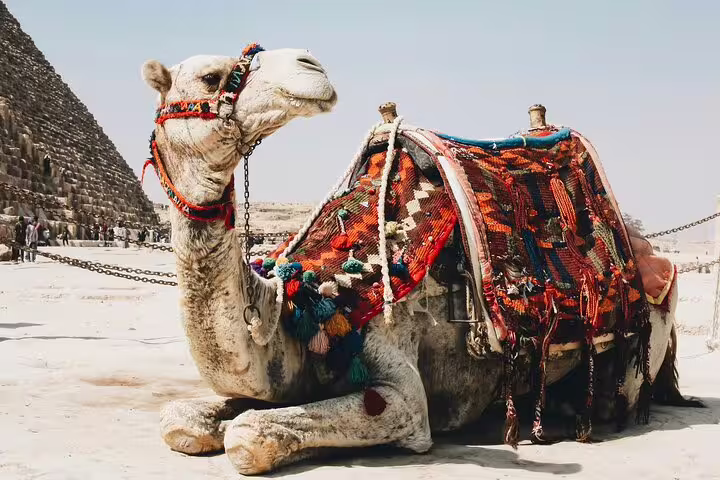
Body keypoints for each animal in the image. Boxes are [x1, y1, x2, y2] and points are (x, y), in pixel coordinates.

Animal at [141, 46, 698, 475]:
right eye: (211, 77)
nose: (310, 64)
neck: (313, 304)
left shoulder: (404, 395)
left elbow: (248, 435)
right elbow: (179, 420)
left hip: (645, 334)